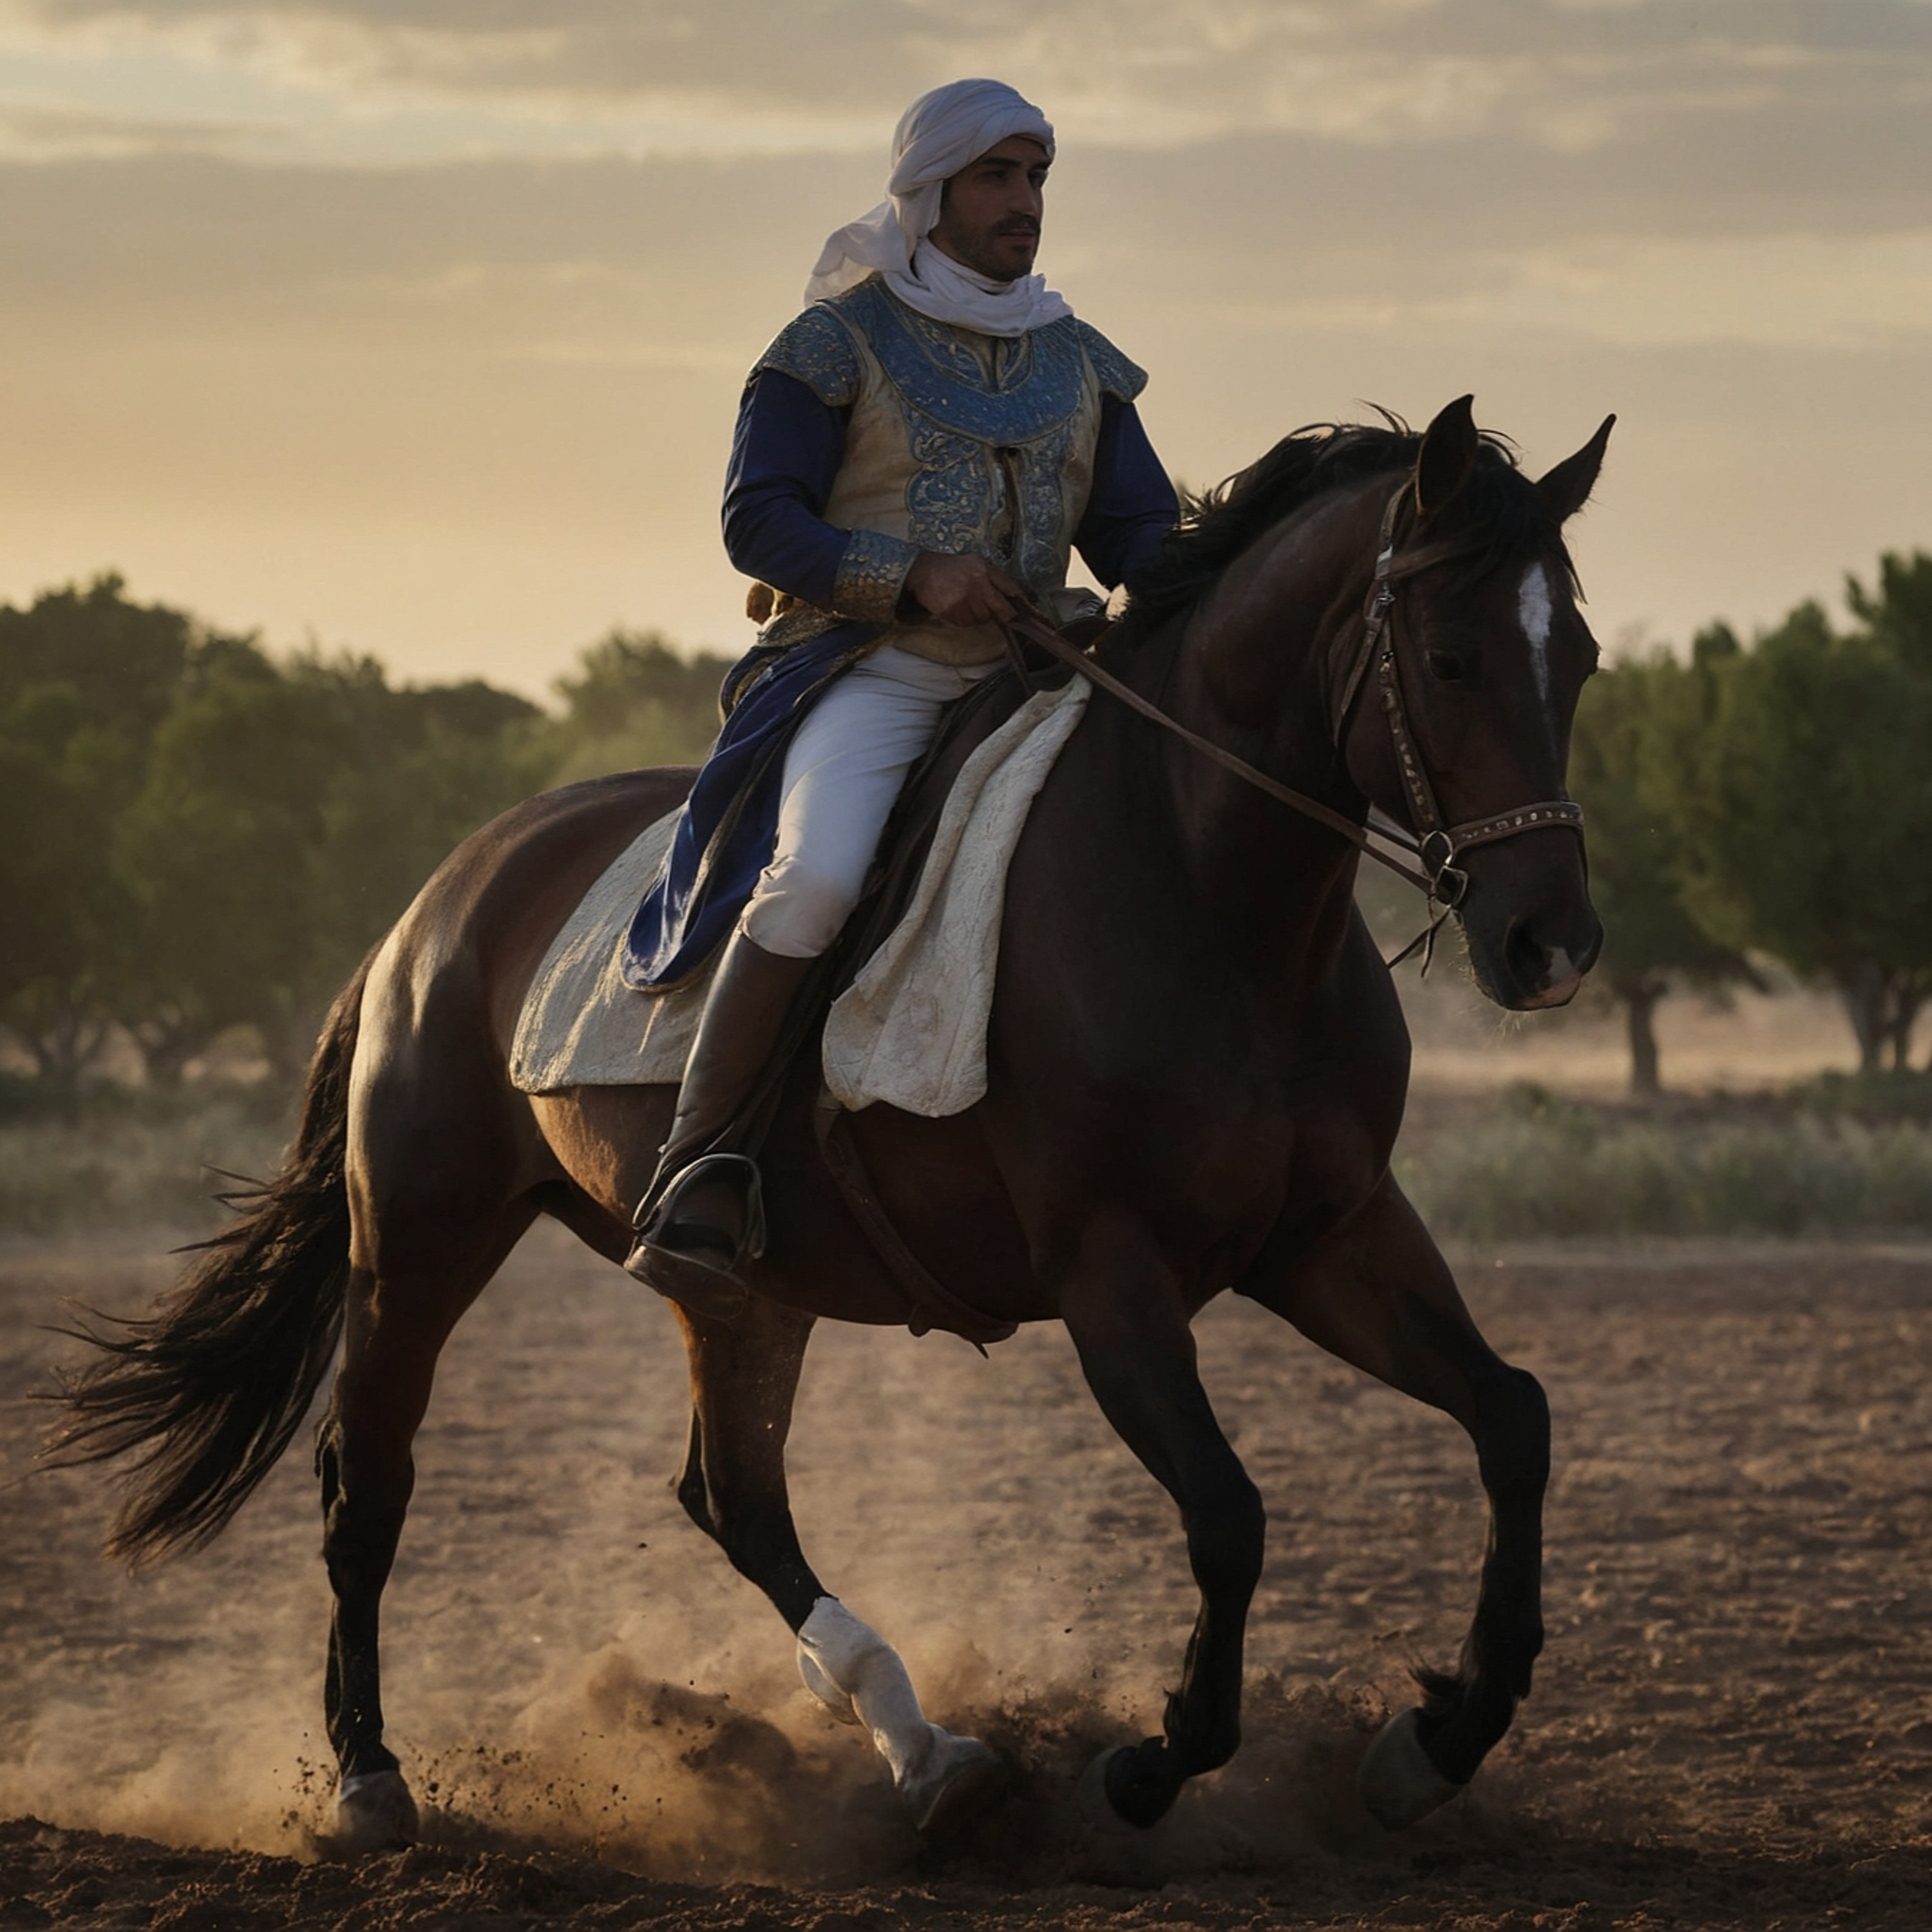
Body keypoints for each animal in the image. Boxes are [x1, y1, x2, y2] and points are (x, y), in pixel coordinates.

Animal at [52, 395, 1612, 1854]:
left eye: (1582, 663)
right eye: (1454, 659)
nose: (1554, 944)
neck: (1210, 902)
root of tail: (436, 902)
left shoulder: (1331, 1239)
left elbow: (1514, 1420)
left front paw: (1439, 1741)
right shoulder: (1115, 1280)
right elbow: (1229, 1516)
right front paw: (1152, 1763)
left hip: (741, 1287)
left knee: (733, 1499)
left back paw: (928, 1755)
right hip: (420, 1249)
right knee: (366, 1483)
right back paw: (371, 1782)